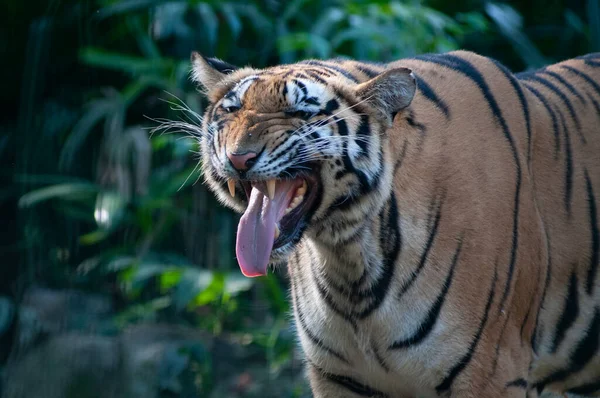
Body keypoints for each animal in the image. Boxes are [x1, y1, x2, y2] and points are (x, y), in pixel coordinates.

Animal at [188, 50, 600, 398]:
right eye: (233, 109)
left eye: (298, 113)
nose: (239, 158)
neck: (348, 257)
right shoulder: (339, 377)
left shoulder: (494, 371)